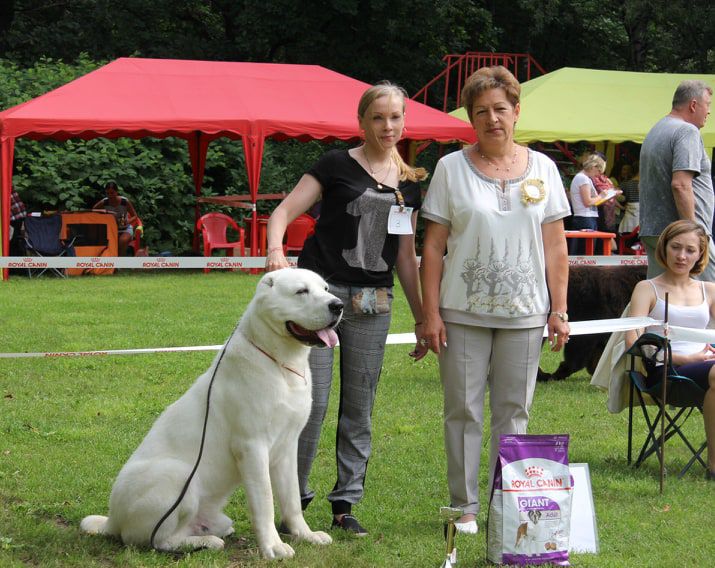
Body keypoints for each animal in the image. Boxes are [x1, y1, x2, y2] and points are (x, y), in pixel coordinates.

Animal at [81, 268, 344, 556]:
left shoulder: (287, 447)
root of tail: (113, 519)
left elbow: (292, 500)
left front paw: (305, 535)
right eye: (301, 291)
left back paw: (209, 537)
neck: (280, 363)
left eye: (326, 288)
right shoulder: (251, 447)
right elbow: (265, 502)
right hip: (177, 475)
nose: (338, 305)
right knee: (157, 540)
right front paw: (273, 547)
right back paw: (206, 542)